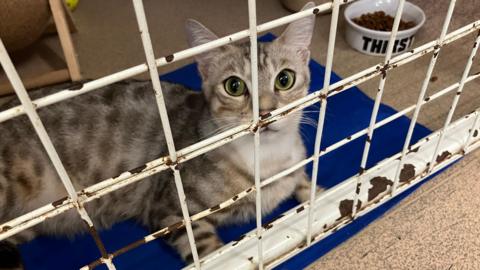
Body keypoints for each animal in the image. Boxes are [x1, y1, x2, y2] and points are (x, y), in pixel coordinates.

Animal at [0, 2, 320, 268]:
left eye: (284, 79)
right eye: (234, 86)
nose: (265, 112)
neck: (268, 158)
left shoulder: (297, 165)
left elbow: (308, 184)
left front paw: (318, 197)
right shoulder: (171, 211)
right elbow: (211, 252)